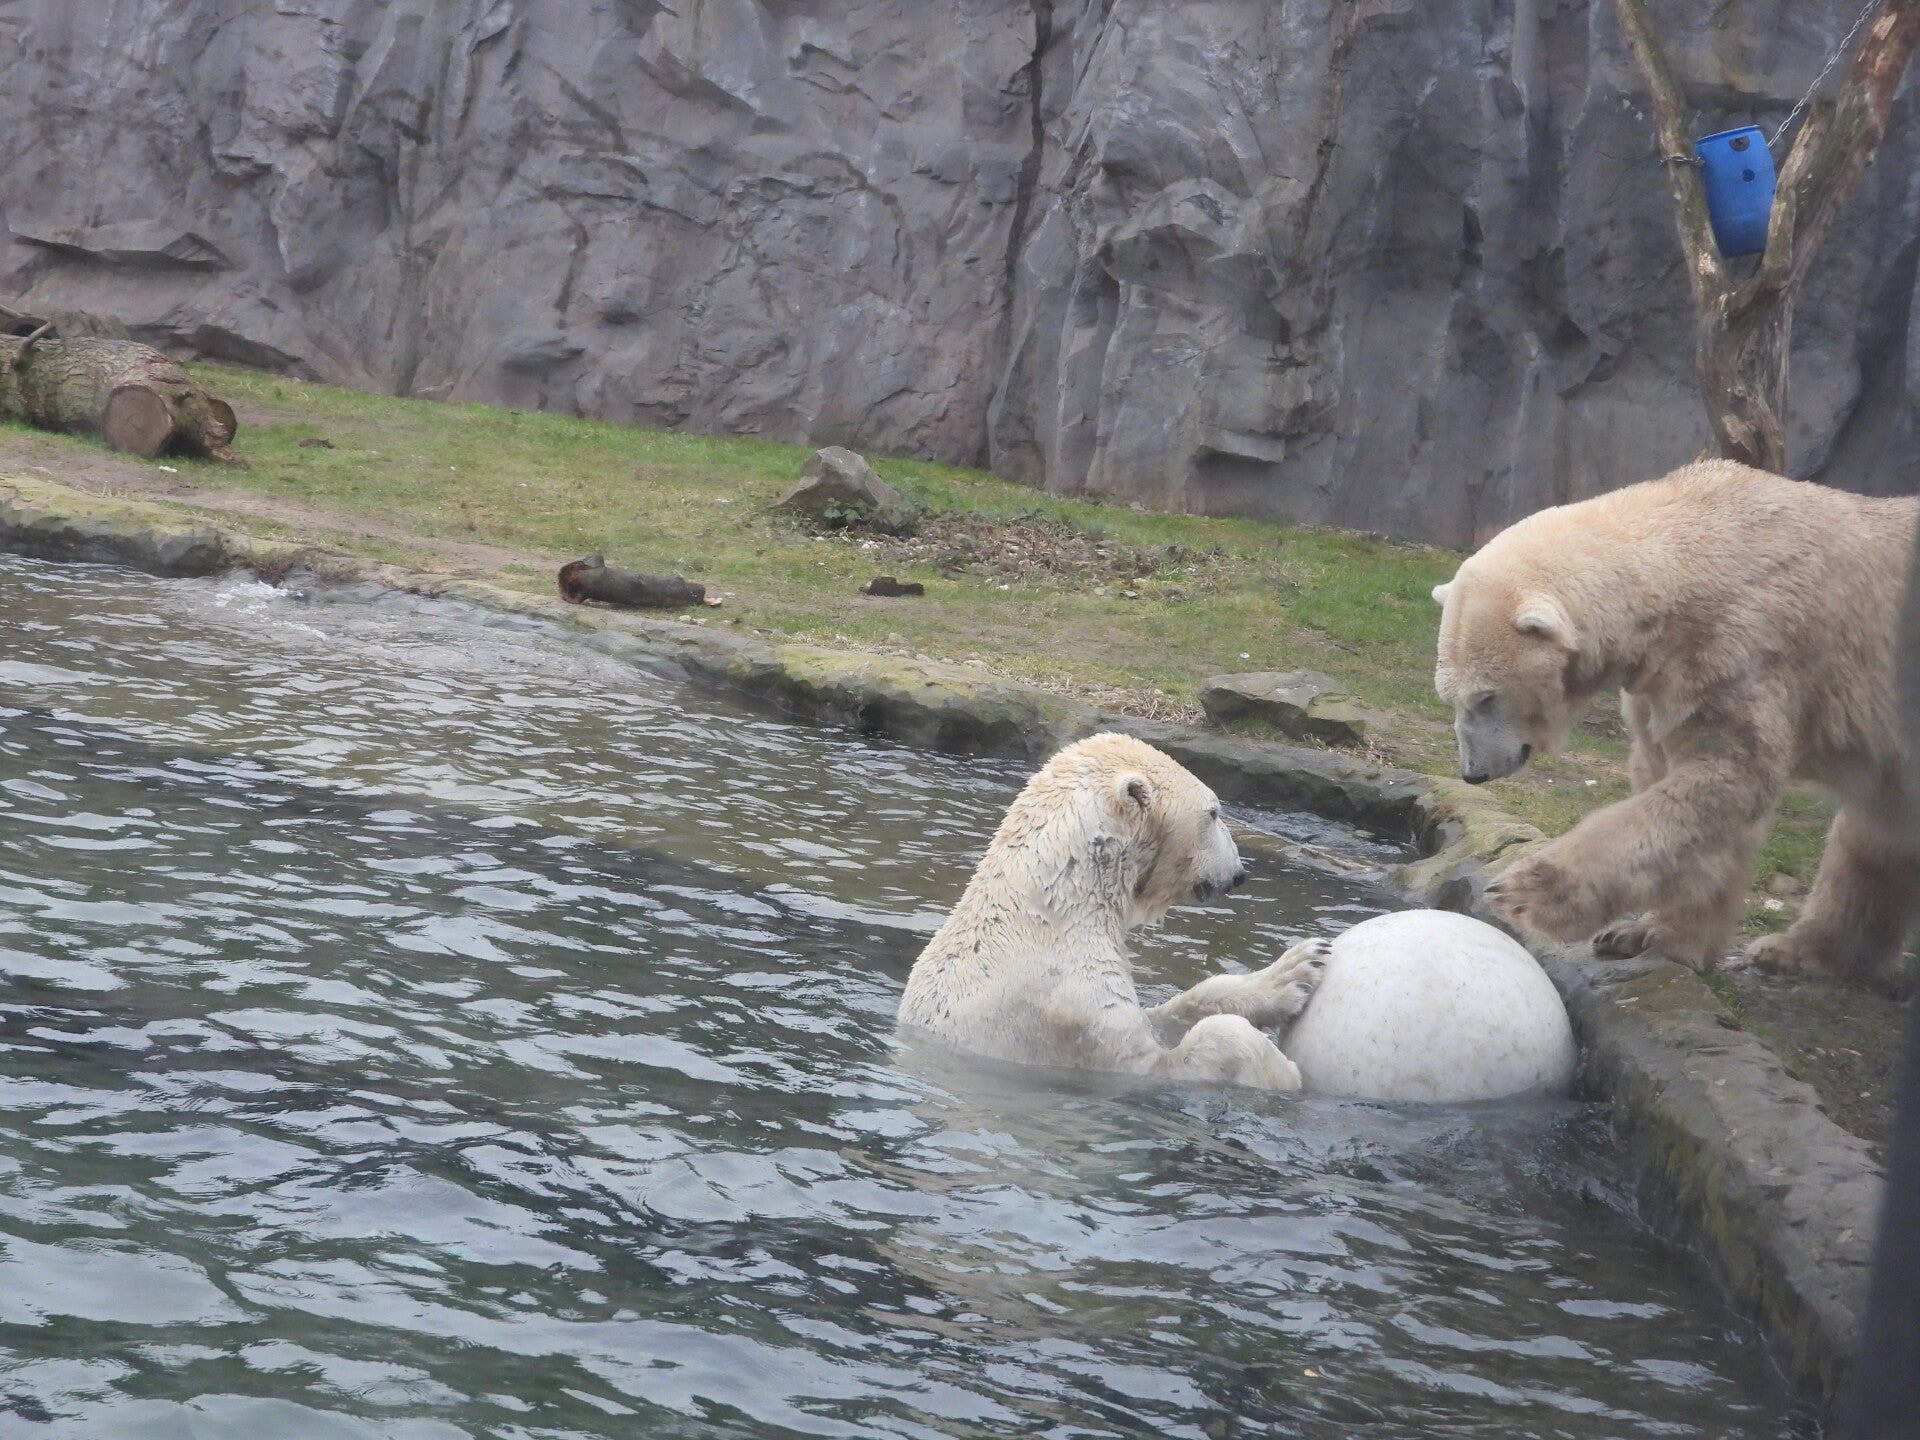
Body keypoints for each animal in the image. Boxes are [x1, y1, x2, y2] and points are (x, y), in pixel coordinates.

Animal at [897, 733, 1331, 1089]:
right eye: (1213, 812)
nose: (1239, 874)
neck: (1053, 913)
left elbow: (1164, 1015)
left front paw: (1299, 968)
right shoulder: (1069, 1009)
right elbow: (1160, 1061)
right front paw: (1285, 1070)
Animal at [1431, 459, 1920, 986]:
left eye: (1486, 697)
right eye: (1450, 697)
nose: (1472, 772)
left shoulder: (1744, 647)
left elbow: (1724, 776)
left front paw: (1525, 893)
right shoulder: (1661, 679)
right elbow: (1671, 782)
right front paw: (1638, 932)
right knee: (1878, 834)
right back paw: (1799, 950)